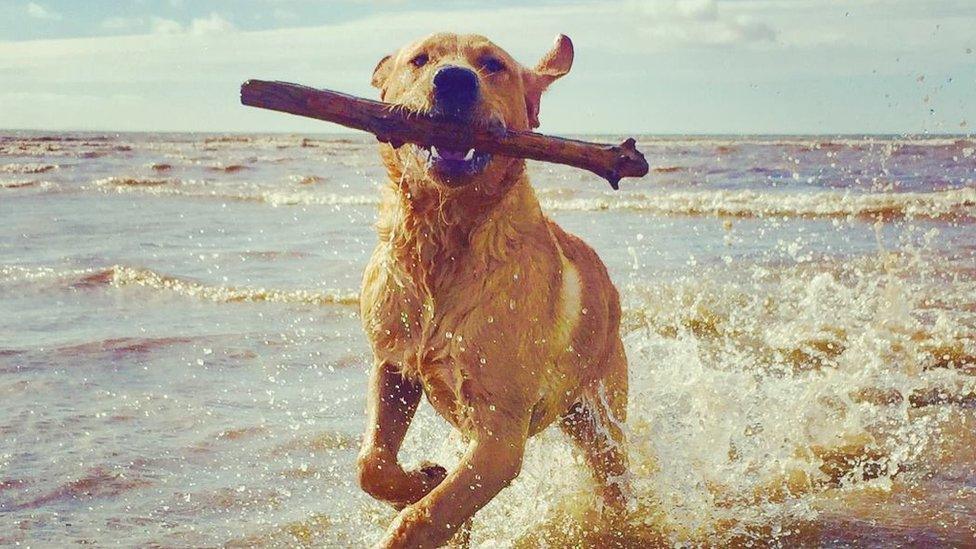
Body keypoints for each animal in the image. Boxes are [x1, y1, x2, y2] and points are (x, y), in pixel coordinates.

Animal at [356, 34, 624, 548]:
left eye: (493, 65)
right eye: (420, 59)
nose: (455, 81)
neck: (443, 245)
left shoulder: (500, 439)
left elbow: (423, 518)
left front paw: (417, 505)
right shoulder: (393, 367)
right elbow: (372, 465)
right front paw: (423, 478)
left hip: (601, 420)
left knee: (615, 479)